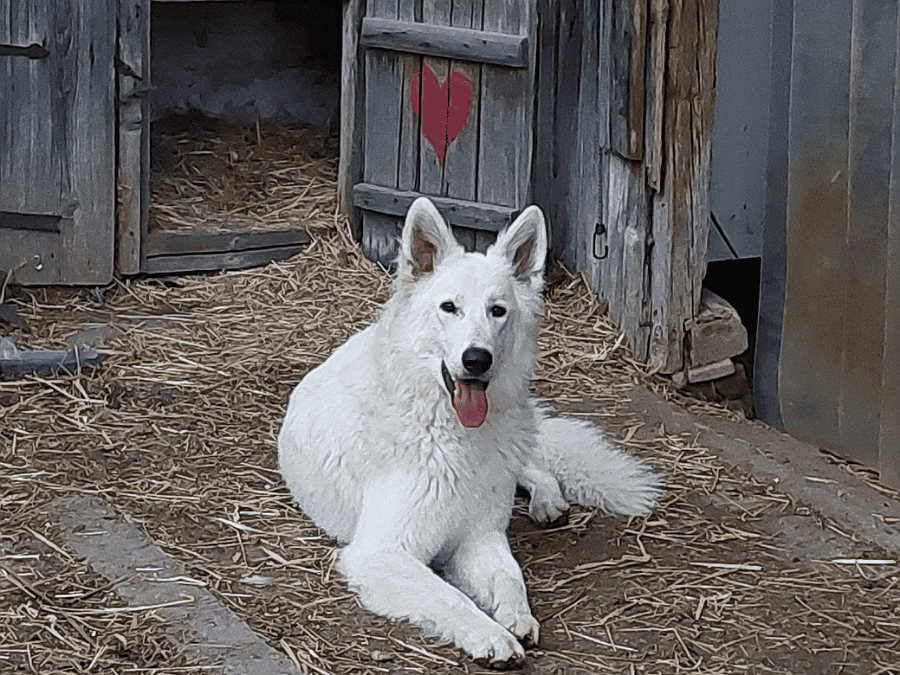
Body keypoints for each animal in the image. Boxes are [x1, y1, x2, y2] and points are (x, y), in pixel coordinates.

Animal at [280, 197, 660, 672]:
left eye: (498, 310)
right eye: (449, 308)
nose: (477, 359)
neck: (450, 432)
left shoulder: (480, 536)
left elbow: (511, 576)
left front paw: (516, 616)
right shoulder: (380, 553)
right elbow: (448, 596)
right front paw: (492, 635)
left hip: (515, 443)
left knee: (534, 466)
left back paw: (548, 501)